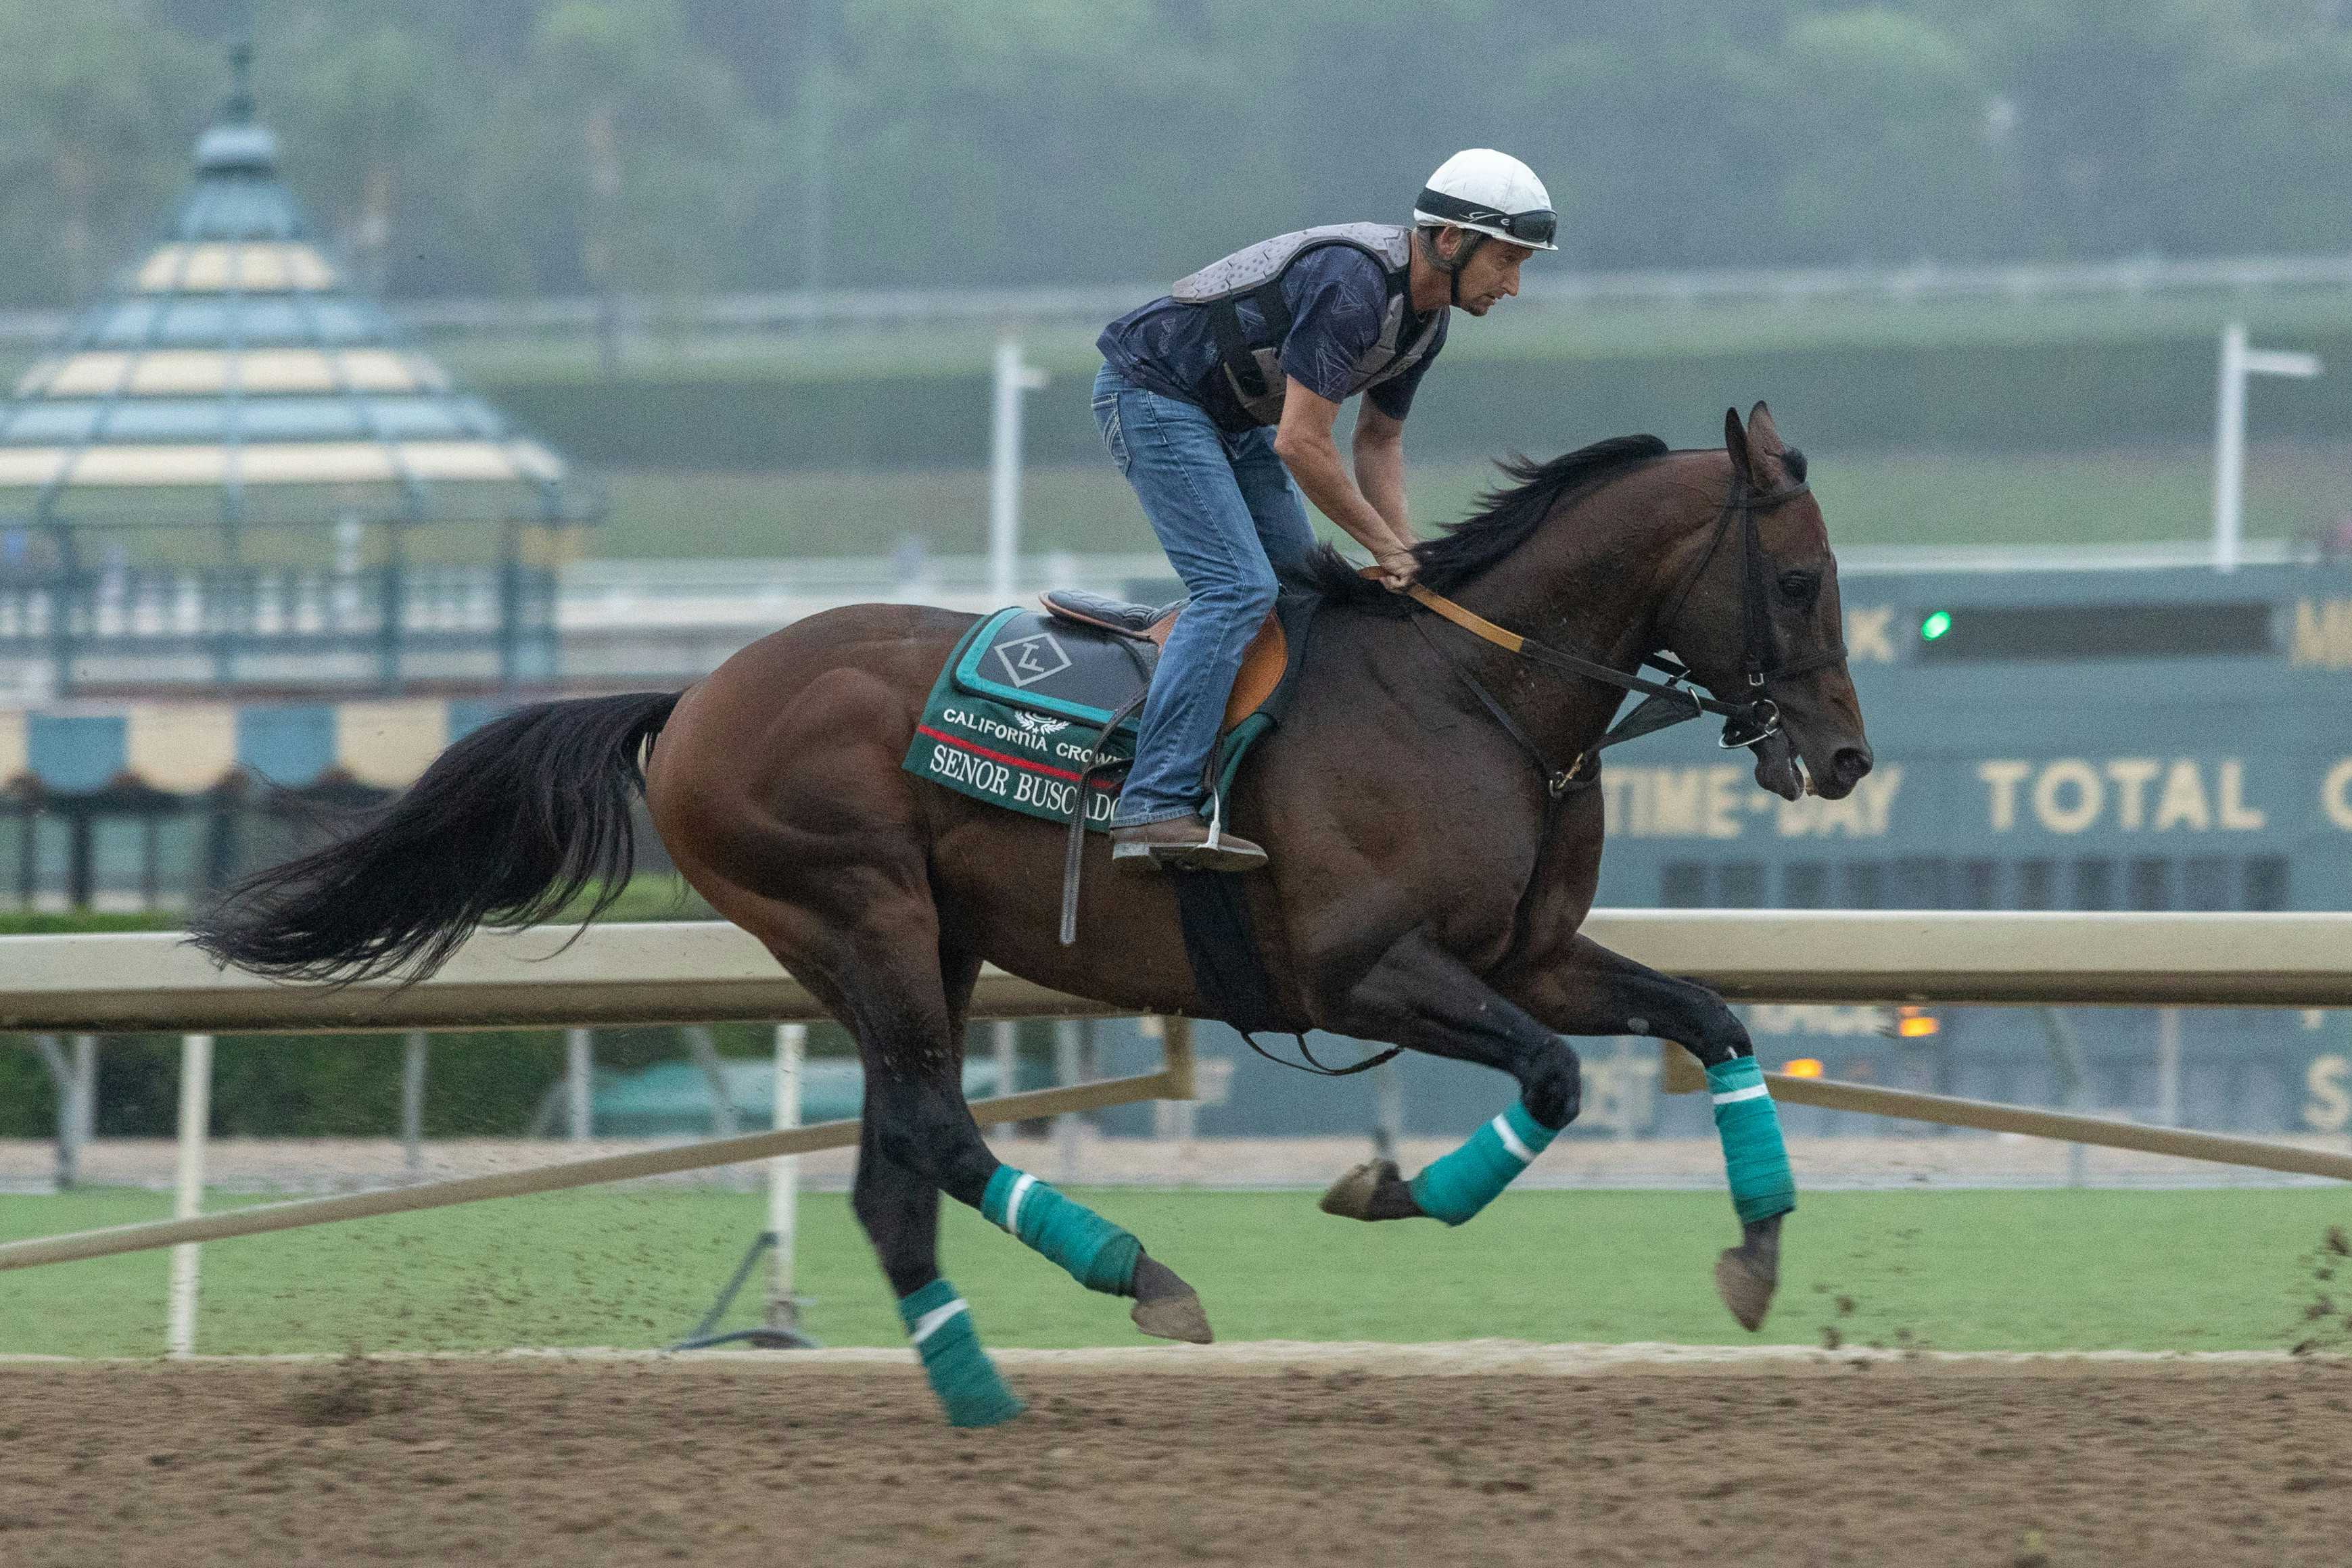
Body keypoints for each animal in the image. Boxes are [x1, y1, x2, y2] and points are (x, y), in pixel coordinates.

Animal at [193, 402, 1872, 1419]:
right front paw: (1389, 1189)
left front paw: (1757, 1253)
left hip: (912, 944)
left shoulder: (1522, 952)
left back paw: (980, 1391)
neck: (1472, 691)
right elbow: (1555, 1075)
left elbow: (1703, 1018)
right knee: (938, 1136)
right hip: (856, 912)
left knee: (890, 1178)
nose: (1845, 755)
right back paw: (1138, 1278)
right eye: (1798, 582)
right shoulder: (1358, 970)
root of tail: (691, 695)